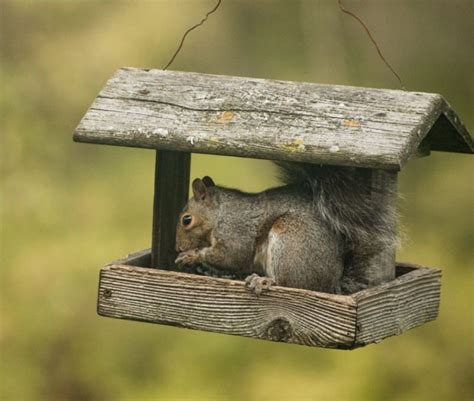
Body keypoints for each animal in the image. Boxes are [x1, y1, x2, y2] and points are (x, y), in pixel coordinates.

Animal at [173, 161, 396, 296]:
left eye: (186, 220)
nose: (178, 247)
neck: (219, 213)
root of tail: (331, 285)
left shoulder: (235, 230)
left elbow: (232, 256)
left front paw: (192, 255)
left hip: (290, 241)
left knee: (289, 283)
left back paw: (264, 281)